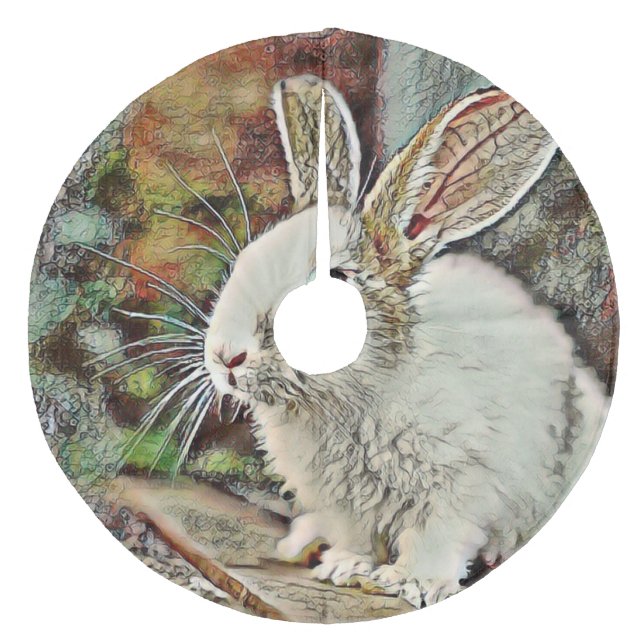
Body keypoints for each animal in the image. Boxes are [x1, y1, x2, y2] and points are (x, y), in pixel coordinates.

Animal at [203, 75, 611, 607]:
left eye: (337, 280)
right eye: (246, 259)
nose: (225, 356)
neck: (354, 392)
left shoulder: (458, 487)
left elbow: (437, 539)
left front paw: (410, 583)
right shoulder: (342, 502)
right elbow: (356, 537)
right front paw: (345, 568)